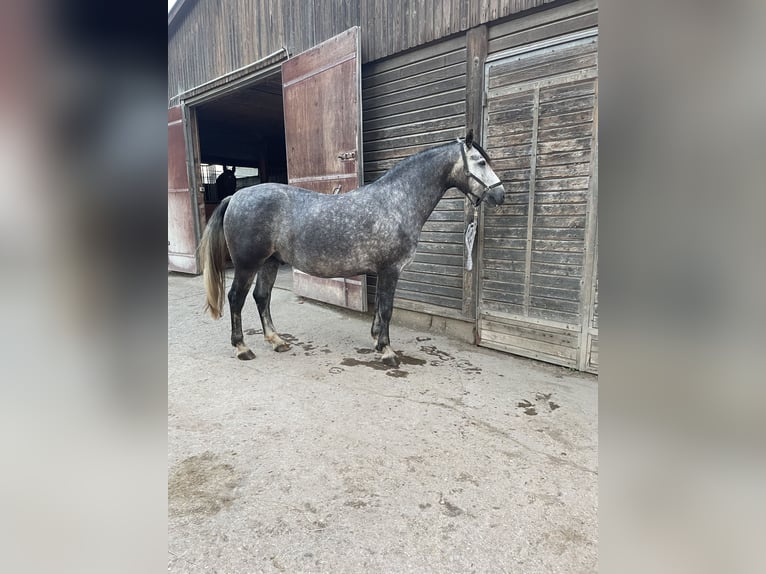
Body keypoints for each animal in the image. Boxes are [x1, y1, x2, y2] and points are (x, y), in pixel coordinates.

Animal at [201, 130, 508, 366]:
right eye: (481, 162)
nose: (500, 195)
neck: (396, 201)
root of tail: (237, 196)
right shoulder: (390, 270)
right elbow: (387, 309)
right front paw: (387, 352)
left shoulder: (383, 271)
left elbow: (380, 309)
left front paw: (377, 341)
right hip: (247, 264)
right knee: (236, 298)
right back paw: (242, 348)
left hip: (270, 262)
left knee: (261, 297)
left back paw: (277, 341)